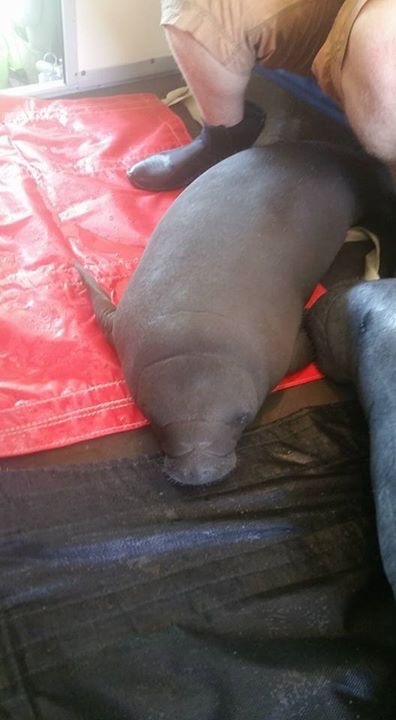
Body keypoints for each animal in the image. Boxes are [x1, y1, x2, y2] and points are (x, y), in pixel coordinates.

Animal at [76, 139, 394, 490]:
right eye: (155, 422)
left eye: (242, 418)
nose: (198, 474)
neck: (196, 336)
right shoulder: (124, 325)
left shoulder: (279, 353)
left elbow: (304, 348)